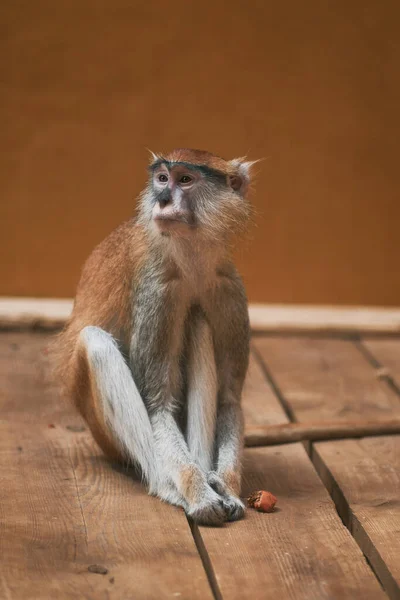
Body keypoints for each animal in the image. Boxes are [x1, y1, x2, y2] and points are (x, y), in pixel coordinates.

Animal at [55, 150, 255, 524]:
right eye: (162, 178)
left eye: (185, 180)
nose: (162, 199)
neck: (191, 260)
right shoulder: (157, 291)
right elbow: (157, 404)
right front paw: (197, 494)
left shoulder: (229, 289)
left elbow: (229, 400)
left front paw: (227, 488)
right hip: (103, 433)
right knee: (95, 342)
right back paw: (166, 485)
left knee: (198, 320)